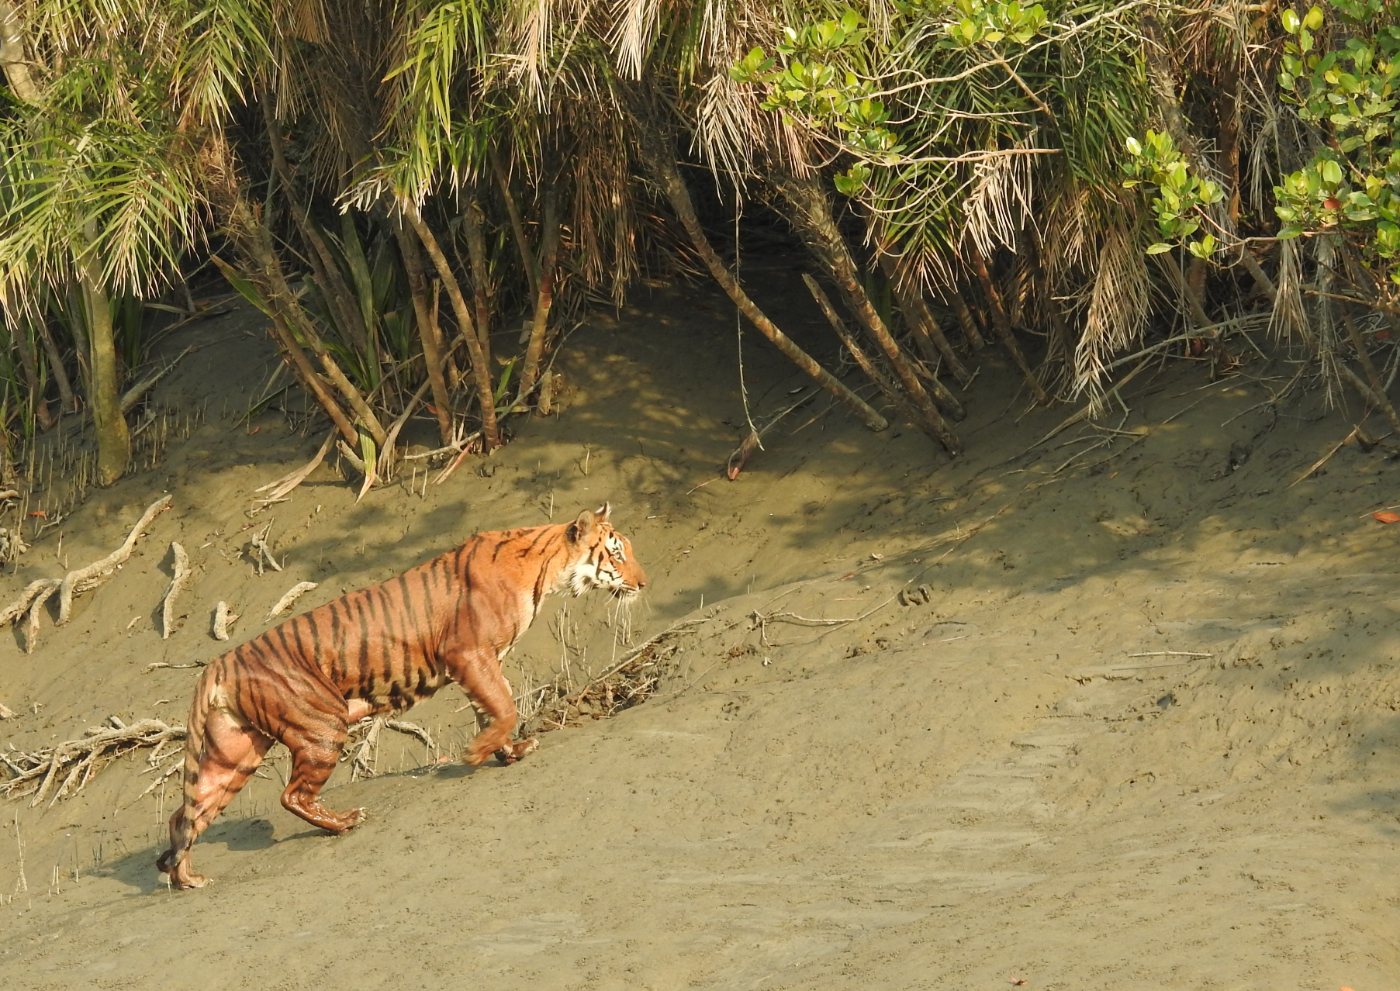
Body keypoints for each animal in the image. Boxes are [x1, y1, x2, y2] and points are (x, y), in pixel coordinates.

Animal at [156, 503, 646, 889]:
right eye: (617, 553)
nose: (643, 584)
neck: (547, 567)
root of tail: (219, 664)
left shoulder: (483, 663)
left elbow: (494, 710)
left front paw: (509, 752)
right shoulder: (470, 653)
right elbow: (504, 708)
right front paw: (477, 754)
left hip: (233, 754)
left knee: (184, 816)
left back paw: (188, 879)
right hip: (322, 726)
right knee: (290, 796)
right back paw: (344, 822)